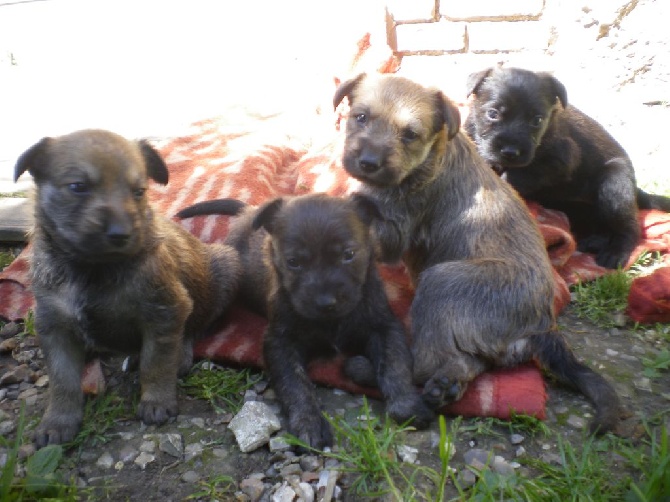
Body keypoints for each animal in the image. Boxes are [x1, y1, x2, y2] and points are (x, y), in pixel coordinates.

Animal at [14, 129, 242, 448]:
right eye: (78, 187)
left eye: (139, 192)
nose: (121, 233)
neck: (92, 269)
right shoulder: (53, 326)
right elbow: (62, 381)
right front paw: (57, 421)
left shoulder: (165, 311)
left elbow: (155, 362)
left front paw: (156, 401)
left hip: (224, 272)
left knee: (194, 328)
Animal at [176, 194, 434, 450]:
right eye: (293, 261)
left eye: (348, 254)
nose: (325, 302)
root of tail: (249, 212)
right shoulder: (280, 342)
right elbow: (295, 383)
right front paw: (309, 423)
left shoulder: (384, 326)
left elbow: (394, 364)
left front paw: (406, 405)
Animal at [334, 72, 624, 434]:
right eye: (360, 117)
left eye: (410, 135)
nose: (368, 163)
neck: (431, 156)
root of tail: (541, 328)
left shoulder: (395, 228)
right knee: (465, 360)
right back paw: (447, 386)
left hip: (443, 282)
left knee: (424, 363)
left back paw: (372, 372)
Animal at [464, 67, 670, 270]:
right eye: (492, 113)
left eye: (537, 120)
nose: (510, 151)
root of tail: (636, 190)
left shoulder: (561, 159)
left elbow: (518, 174)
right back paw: (595, 240)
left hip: (614, 185)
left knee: (630, 227)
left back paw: (615, 252)